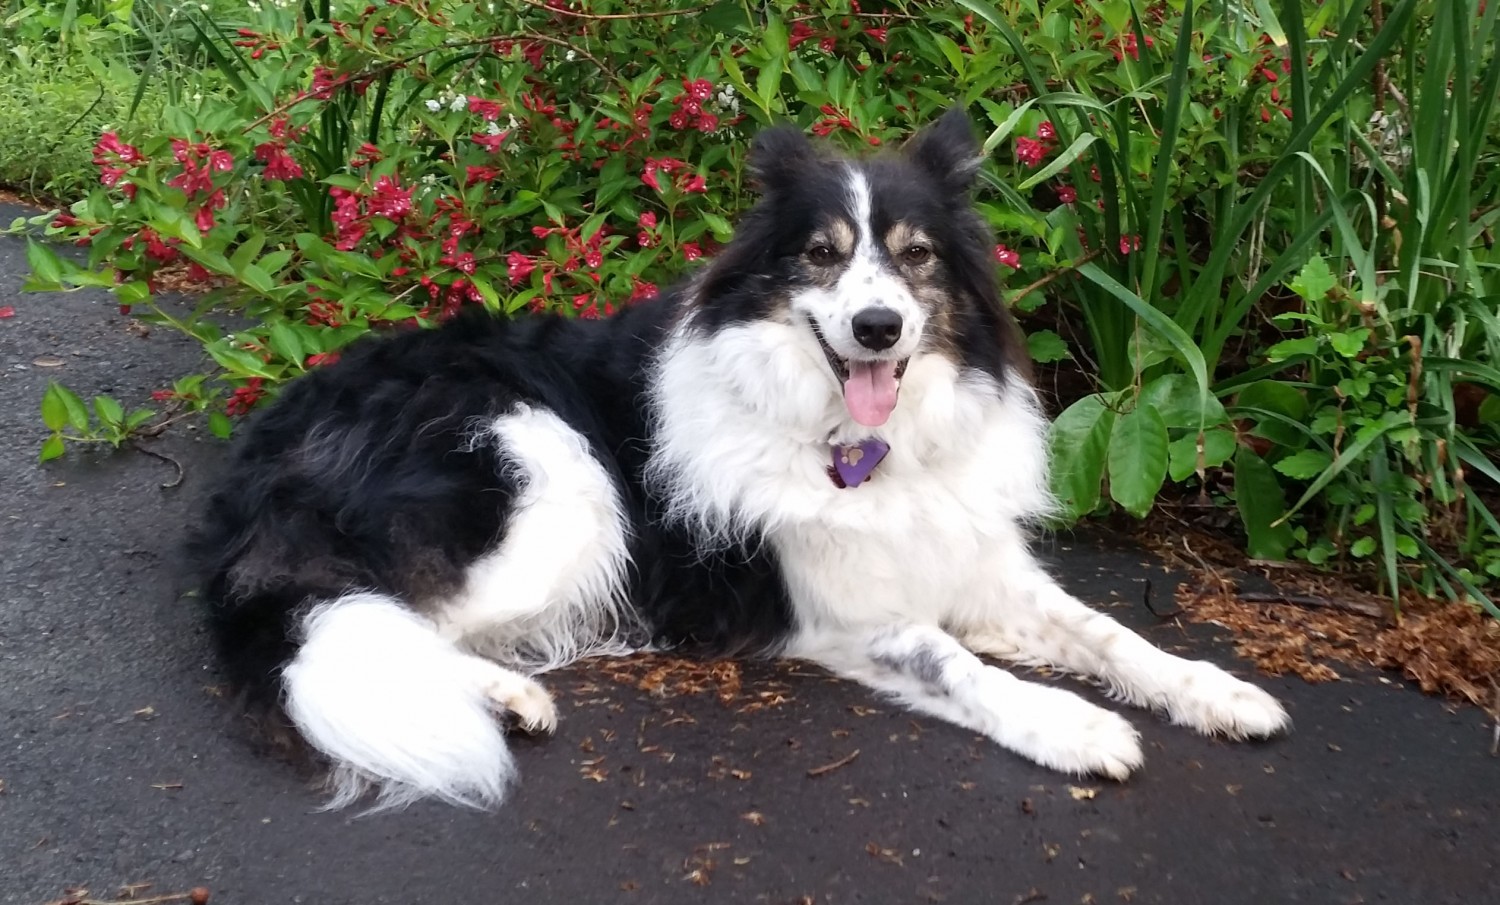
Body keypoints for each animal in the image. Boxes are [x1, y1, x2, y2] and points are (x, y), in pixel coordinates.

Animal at [187, 109, 1290, 810]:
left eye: (916, 254)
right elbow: (962, 665)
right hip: (556, 474)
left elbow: (1110, 633)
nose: (879, 327)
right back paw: (504, 695)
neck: (860, 442)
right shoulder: (845, 613)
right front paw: (1075, 727)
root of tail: (264, 449)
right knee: (381, 613)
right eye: (821, 254)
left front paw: (1214, 690)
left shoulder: (974, 562)